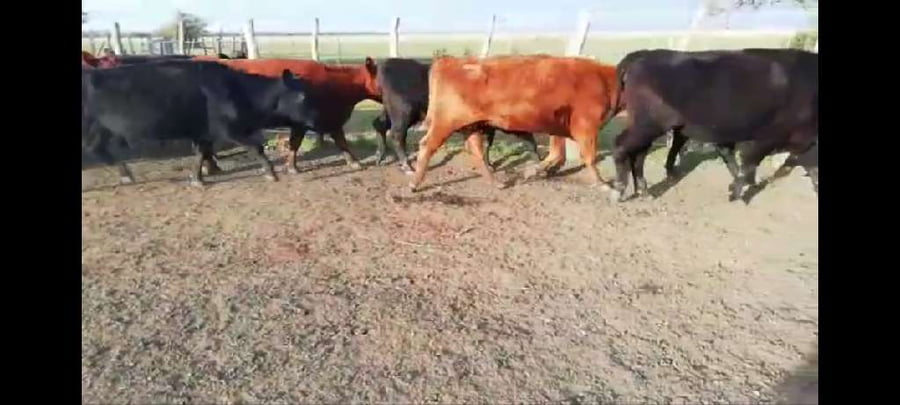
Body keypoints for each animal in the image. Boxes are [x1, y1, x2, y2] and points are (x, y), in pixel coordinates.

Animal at [82, 60, 319, 187]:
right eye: (302, 97)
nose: (315, 120)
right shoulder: (228, 129)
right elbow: (256, 147)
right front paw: (271, 173)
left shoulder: (203, 133)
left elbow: (200, 154)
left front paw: (198, 178)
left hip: (102, 128)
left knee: (98, 149)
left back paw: (126, 175)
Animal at [210, 58, 382, 174]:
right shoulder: (302, 123)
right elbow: (296, 143)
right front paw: (292, 167)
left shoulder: (332, 120)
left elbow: (341, 142)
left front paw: (353, 162)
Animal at [370, 57, 541, 174]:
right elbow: (528, 138)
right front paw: (538, 161)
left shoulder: (488, 126)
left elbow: (488, 143)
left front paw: (490, 164)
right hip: (403, 113)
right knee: (397, 135)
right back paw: (407, 166)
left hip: (391, 112)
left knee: (379, 124)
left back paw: (380, 156)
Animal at [408, 55, 620, 192]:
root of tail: (450, 61)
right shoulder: (587, 128)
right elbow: (589, 157)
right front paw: (604, 184)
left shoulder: (558, 127)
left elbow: (557, 154)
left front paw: (537, 170)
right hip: (446, 122)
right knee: (427, 145)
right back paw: (414, 184)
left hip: (473, 126)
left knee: (476, 151)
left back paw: (496, 183)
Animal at [611, 48, 818, 202]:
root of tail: (643, 55)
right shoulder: (769, 137)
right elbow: (749, 163)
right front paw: (736, 193)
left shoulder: (805, 143)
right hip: (649, 124)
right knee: (621, 146)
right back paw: (619, 190)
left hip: (648, 126)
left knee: (639, 154)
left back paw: (644, 192)